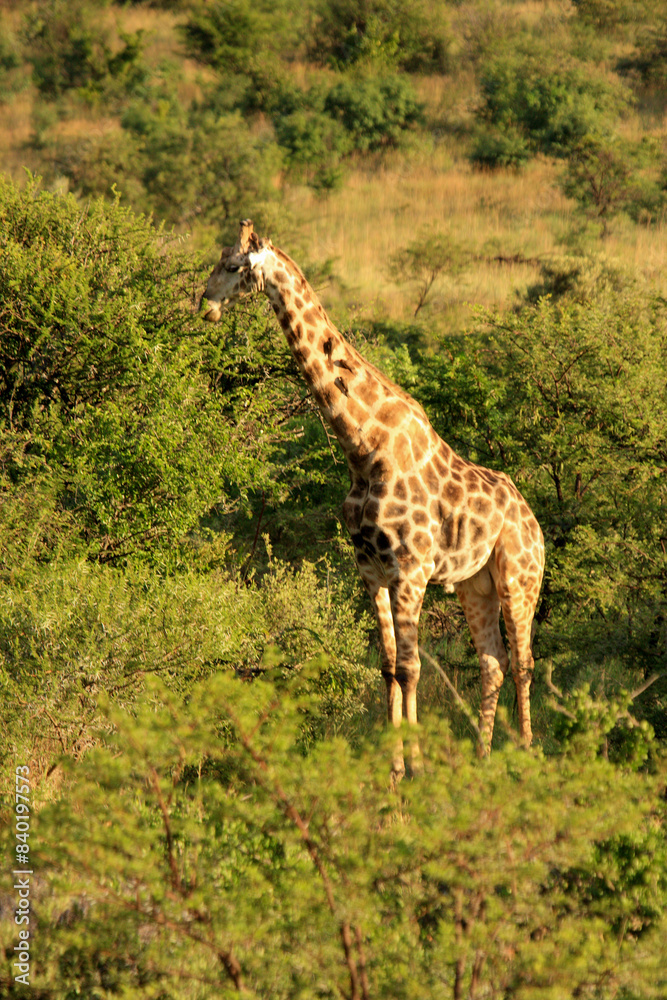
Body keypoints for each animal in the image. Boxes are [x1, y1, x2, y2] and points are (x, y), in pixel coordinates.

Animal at [202, 220, 545, 774]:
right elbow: (387, 667)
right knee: (493, 661)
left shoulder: (411, 569)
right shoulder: (370, 570)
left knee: (524, 661)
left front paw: (417, 770)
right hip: (476, 584)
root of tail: (534, 521)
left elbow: (411, 668)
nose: (204, 303)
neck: (362, 449)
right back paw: (483, 756)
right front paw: (394, 771)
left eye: (233, 266)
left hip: (519, 576)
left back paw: (527, 753)